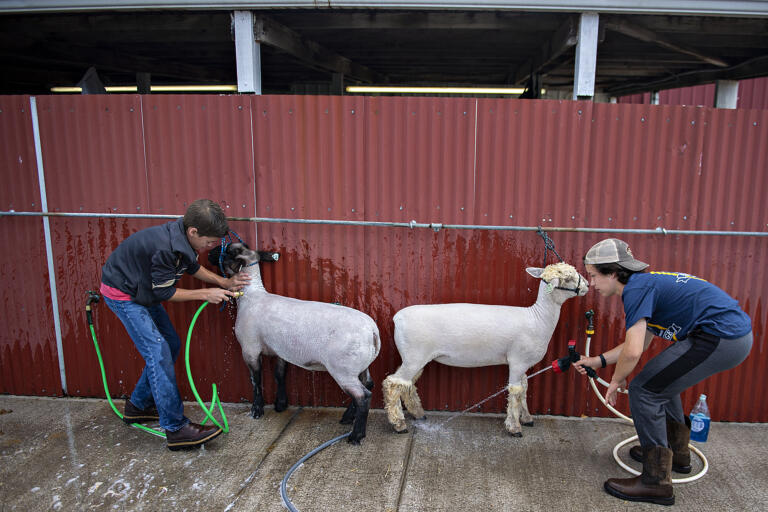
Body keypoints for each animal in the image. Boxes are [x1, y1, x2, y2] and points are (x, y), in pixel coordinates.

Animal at [212, 242, 380, 442]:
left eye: (228, 250)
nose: (209, 253)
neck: (252, 295)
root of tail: (372, 331)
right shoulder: (279, 350)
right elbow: (279, 375)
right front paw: (280, 404)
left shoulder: (249, 348)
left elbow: (256, 380)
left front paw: (257, 410)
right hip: (361, 365)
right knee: (368, 384)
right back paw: (348, 418)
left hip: (343, 369)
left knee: (363, 396)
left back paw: (356, 435)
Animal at [384, 264, 588, 436]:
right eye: (568, 278)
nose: (586, 285)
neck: (538, 318)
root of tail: (397, 318)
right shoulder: (518, 360)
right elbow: (515, 392)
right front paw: (515, 428)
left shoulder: (523, 363)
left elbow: (523, 389)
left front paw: (527, 418)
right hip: (414, 356)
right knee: (393, 383)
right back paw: (399, 425)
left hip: (414, 357)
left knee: (407, 384)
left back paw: (418, 414)